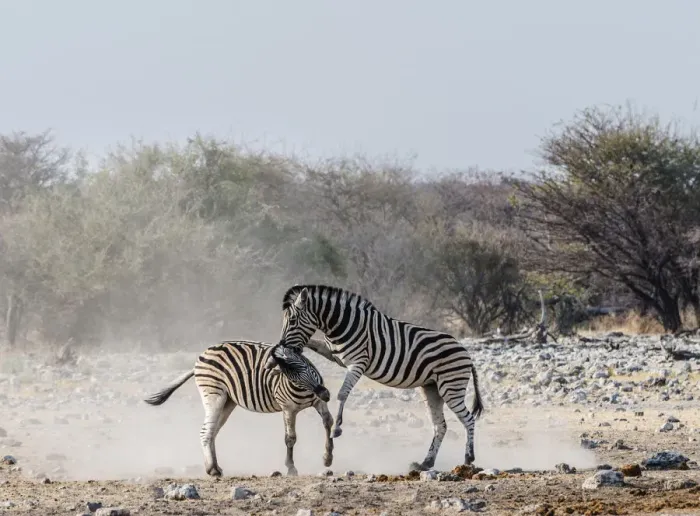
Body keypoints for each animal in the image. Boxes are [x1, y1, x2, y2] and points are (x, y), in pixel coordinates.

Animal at [144, 339, 334, 477]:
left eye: (306, 365)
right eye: (292, 376)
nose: (325, 393)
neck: (304, 389)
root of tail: (203, 354)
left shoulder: (318, 402)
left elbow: (328, 422)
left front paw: (327, 458)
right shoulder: (288, 408)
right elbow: (290, 438)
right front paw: (291, 468)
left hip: (227, 401)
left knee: (213, 431)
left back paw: (215, 467)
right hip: (214, 395)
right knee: (205, 431)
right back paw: (212, 469)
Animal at [265, 285, 484, 470]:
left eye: (293, 321)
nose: (284, 346)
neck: (342, 324)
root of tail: (466, 353)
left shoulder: (357, 363)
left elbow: (342, 394)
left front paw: (338, 428)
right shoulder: (333, 354)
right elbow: (312, 343)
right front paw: (276, 357)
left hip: (450, 387)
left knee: (468, 419)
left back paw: (468, 458)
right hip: (431, 389)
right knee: (441, 426)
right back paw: (425, 463)